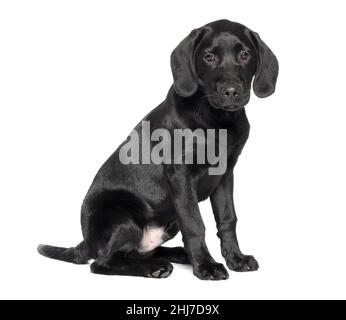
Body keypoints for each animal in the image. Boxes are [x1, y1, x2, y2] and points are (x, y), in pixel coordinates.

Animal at [38, 20, 278, 280]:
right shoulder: (181, 176)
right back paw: (155, 267)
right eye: (209, 57)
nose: (232, 91)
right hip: (120, 214)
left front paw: (236, 258)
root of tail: (86, 242)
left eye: (245, 55)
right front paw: (206, 266)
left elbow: (227, 219)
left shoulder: (224, 174)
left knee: (138, 252)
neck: (217, 119)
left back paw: (177, 255)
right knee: (103, 263)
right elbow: (195, 224)